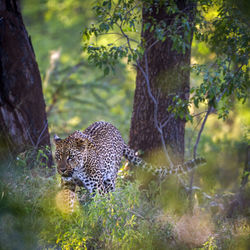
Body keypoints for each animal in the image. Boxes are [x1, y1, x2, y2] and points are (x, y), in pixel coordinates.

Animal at [54, 121, 205, 199]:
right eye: (58, 157)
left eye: (71, 157)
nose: (62, 170)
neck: (77, 171)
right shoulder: (67, 184)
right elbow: (67, 202)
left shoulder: (98, 188)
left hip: (110, 179)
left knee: (112, 194)